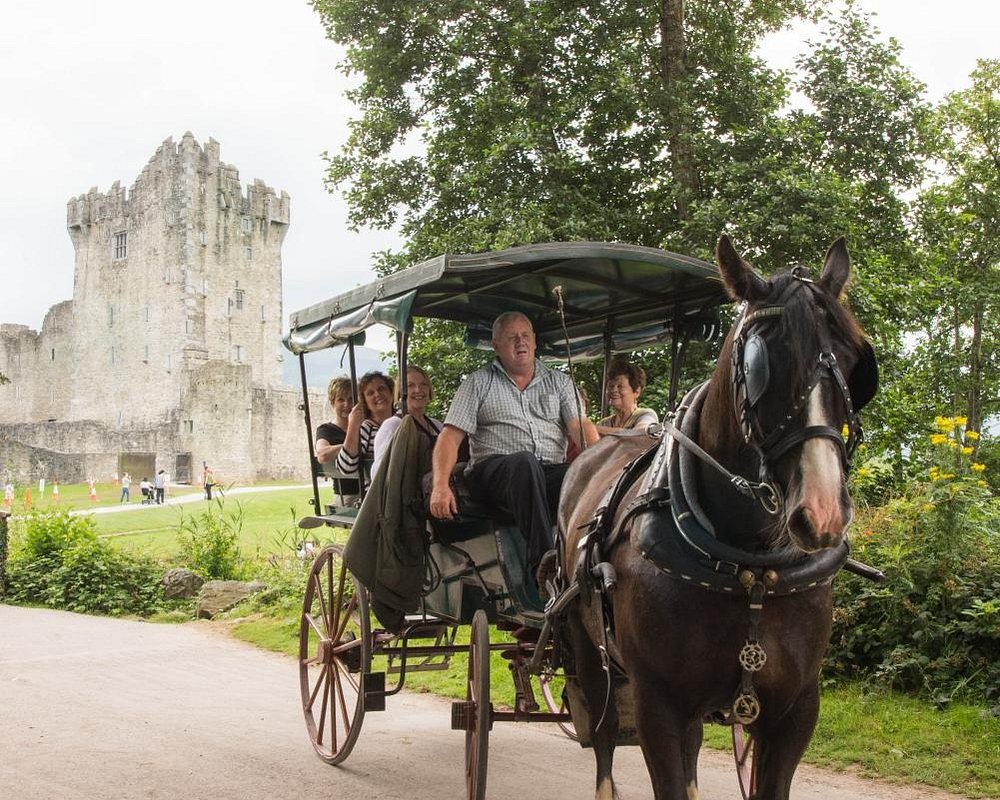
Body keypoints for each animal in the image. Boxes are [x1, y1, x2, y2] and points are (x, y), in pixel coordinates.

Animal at [560, 238, 880, 800]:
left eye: (855, 364)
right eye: (761, 365)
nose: (822, 514)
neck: (747, 563)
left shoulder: (794, 712)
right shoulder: (659, 705)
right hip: (590, 651)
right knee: (602, 735)